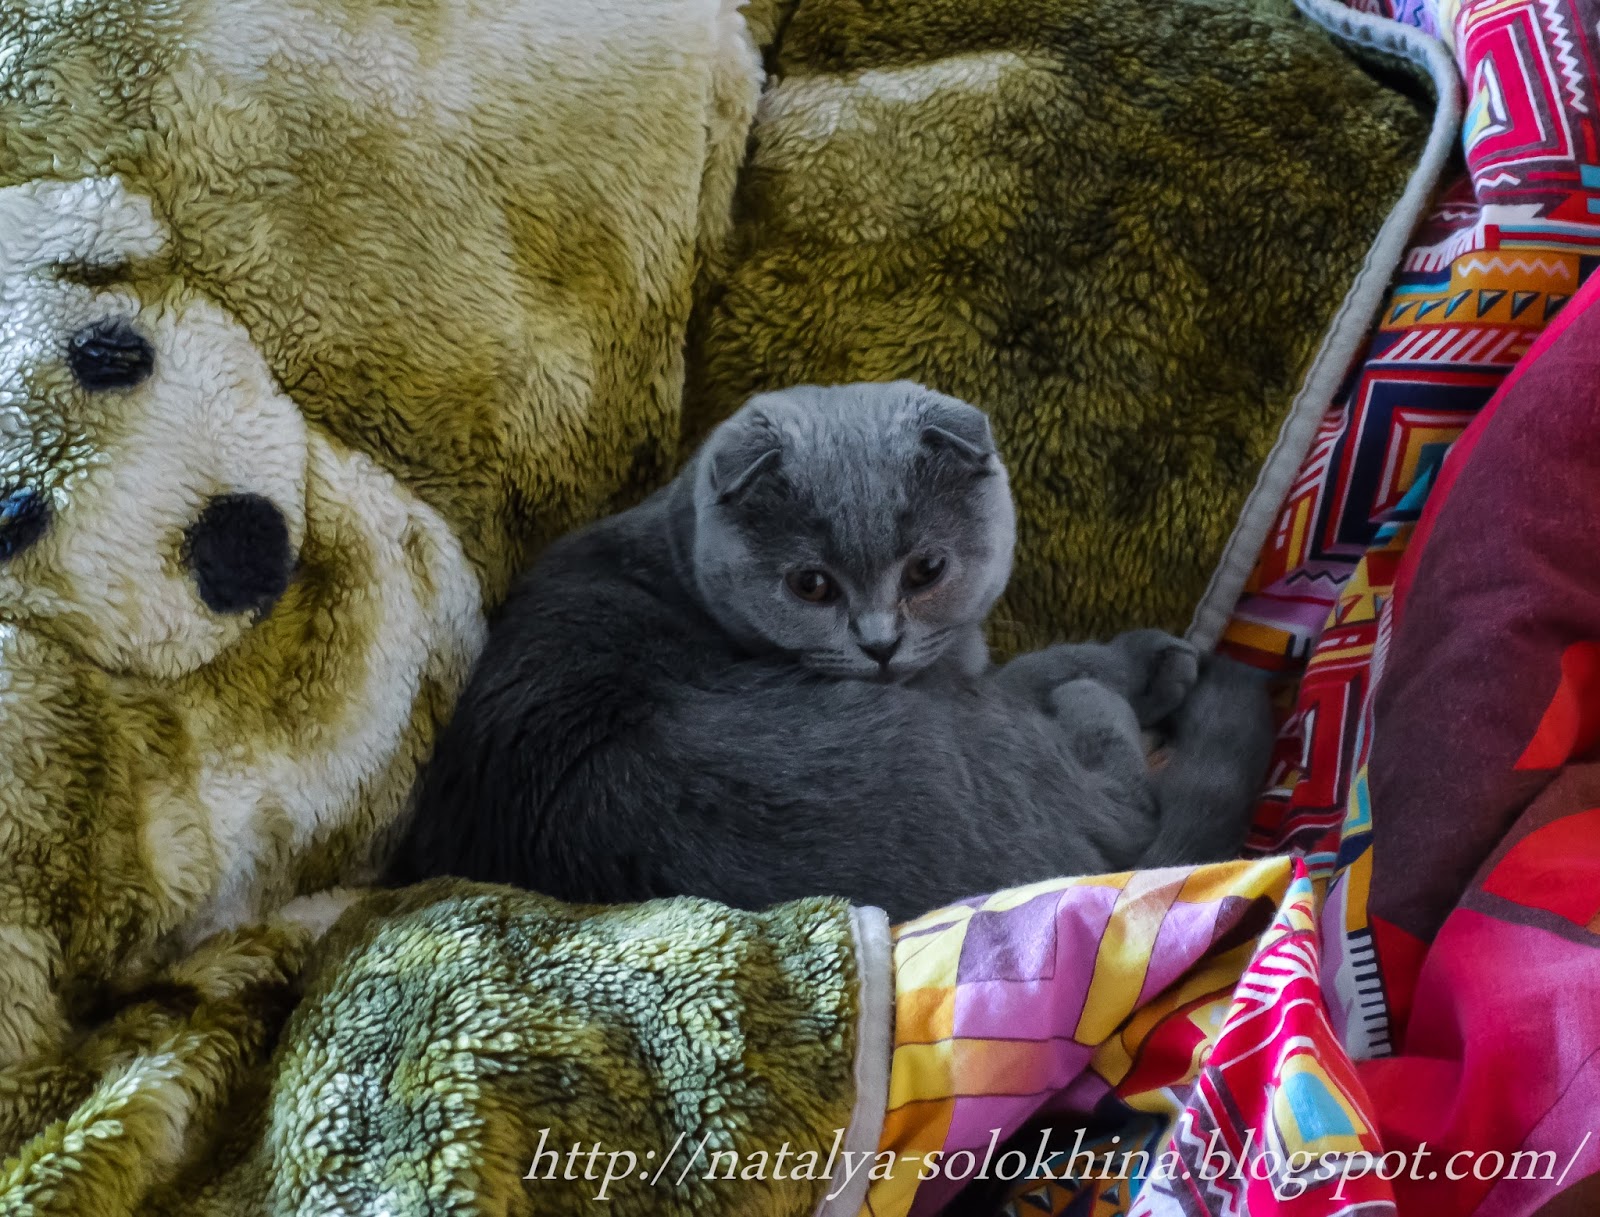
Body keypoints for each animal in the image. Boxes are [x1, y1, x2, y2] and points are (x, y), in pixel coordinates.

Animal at [392, 381, 1274, 921]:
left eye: (926, 569)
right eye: (811, 584)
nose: (880, 644)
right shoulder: (966, 685)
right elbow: (1041, 666)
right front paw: (1145, 663)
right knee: (1119, 803)